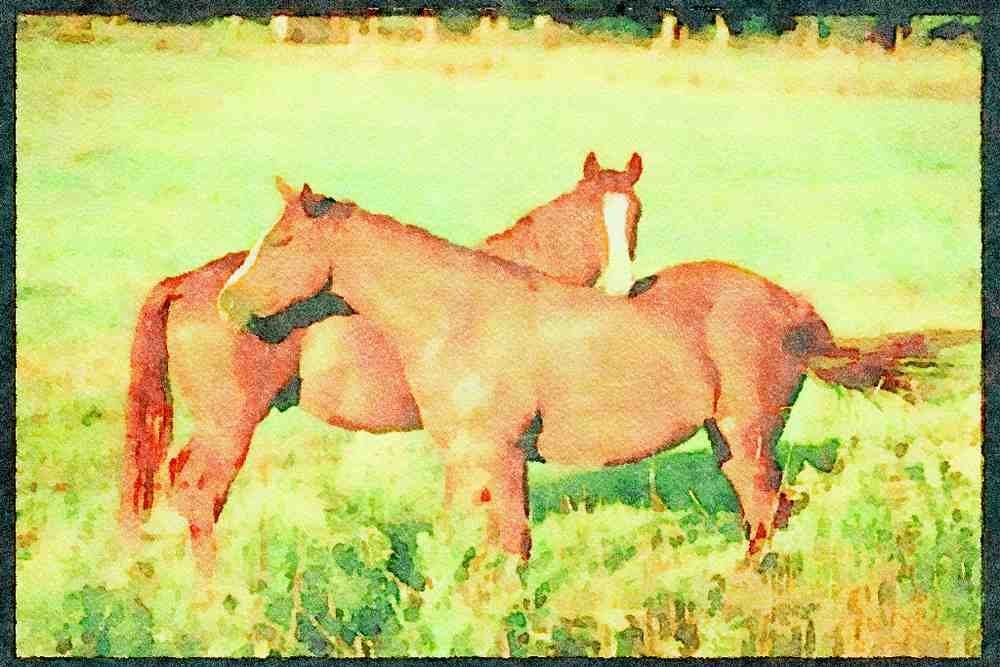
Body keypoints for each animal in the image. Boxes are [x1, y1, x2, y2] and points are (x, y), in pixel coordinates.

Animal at [121, 152, 644, 572]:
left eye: (635, 215)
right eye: (588, 218)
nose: (621, 286)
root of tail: (187, 284)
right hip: (228, 427)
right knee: (199, 495)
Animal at [218, 183, 913, 560]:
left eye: (281, 242)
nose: (228, 301)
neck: (459, 315)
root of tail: (794, 307)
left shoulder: (500, 454)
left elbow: (512, 546)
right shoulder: (466, 457)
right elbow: (460, 540)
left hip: (750, 435)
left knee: (769, 513)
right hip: (729, 439)